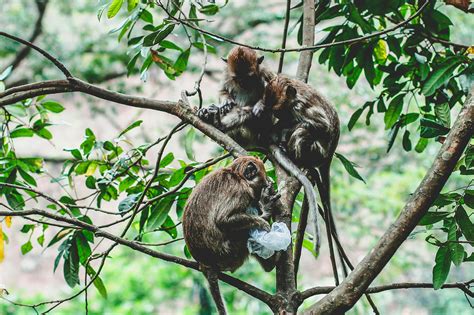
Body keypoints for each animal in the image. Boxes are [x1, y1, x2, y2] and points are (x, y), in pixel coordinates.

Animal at [183, 157, 290, 314]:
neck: (236, 174)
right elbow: (223, 219)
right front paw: (265, 214)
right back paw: (271, 262)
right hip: (229, 253)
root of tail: (206, 264)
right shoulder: (239, 191)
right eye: (262, 185)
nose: (258, 199)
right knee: (244, 232)